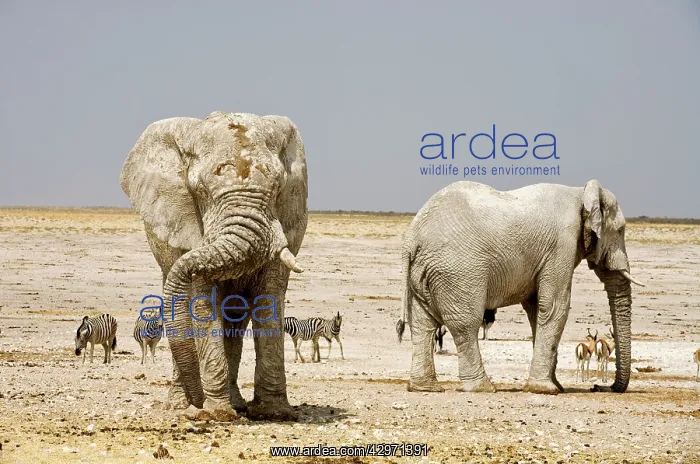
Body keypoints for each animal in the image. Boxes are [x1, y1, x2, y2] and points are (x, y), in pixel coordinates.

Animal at [120, 111, 308, 421]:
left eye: (279, 187)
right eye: (200, 190)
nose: (197, 407)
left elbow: (269, 298)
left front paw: (274, 413)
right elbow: (202, 301)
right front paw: (217, 414)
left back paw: (232, 403)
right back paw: (182, 405)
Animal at [396, 180, 645, 395]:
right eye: (620, 231)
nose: (598, 387)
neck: (580, 193)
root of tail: (412, 239)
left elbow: (537, 310)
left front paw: (554, 385)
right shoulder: (562, 245)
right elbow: (554, 308)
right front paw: (546, 389)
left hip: (424, 273)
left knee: (422, 325)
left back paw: (424, 387)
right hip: (458, 271)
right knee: (466, 325)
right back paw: (483, 388)